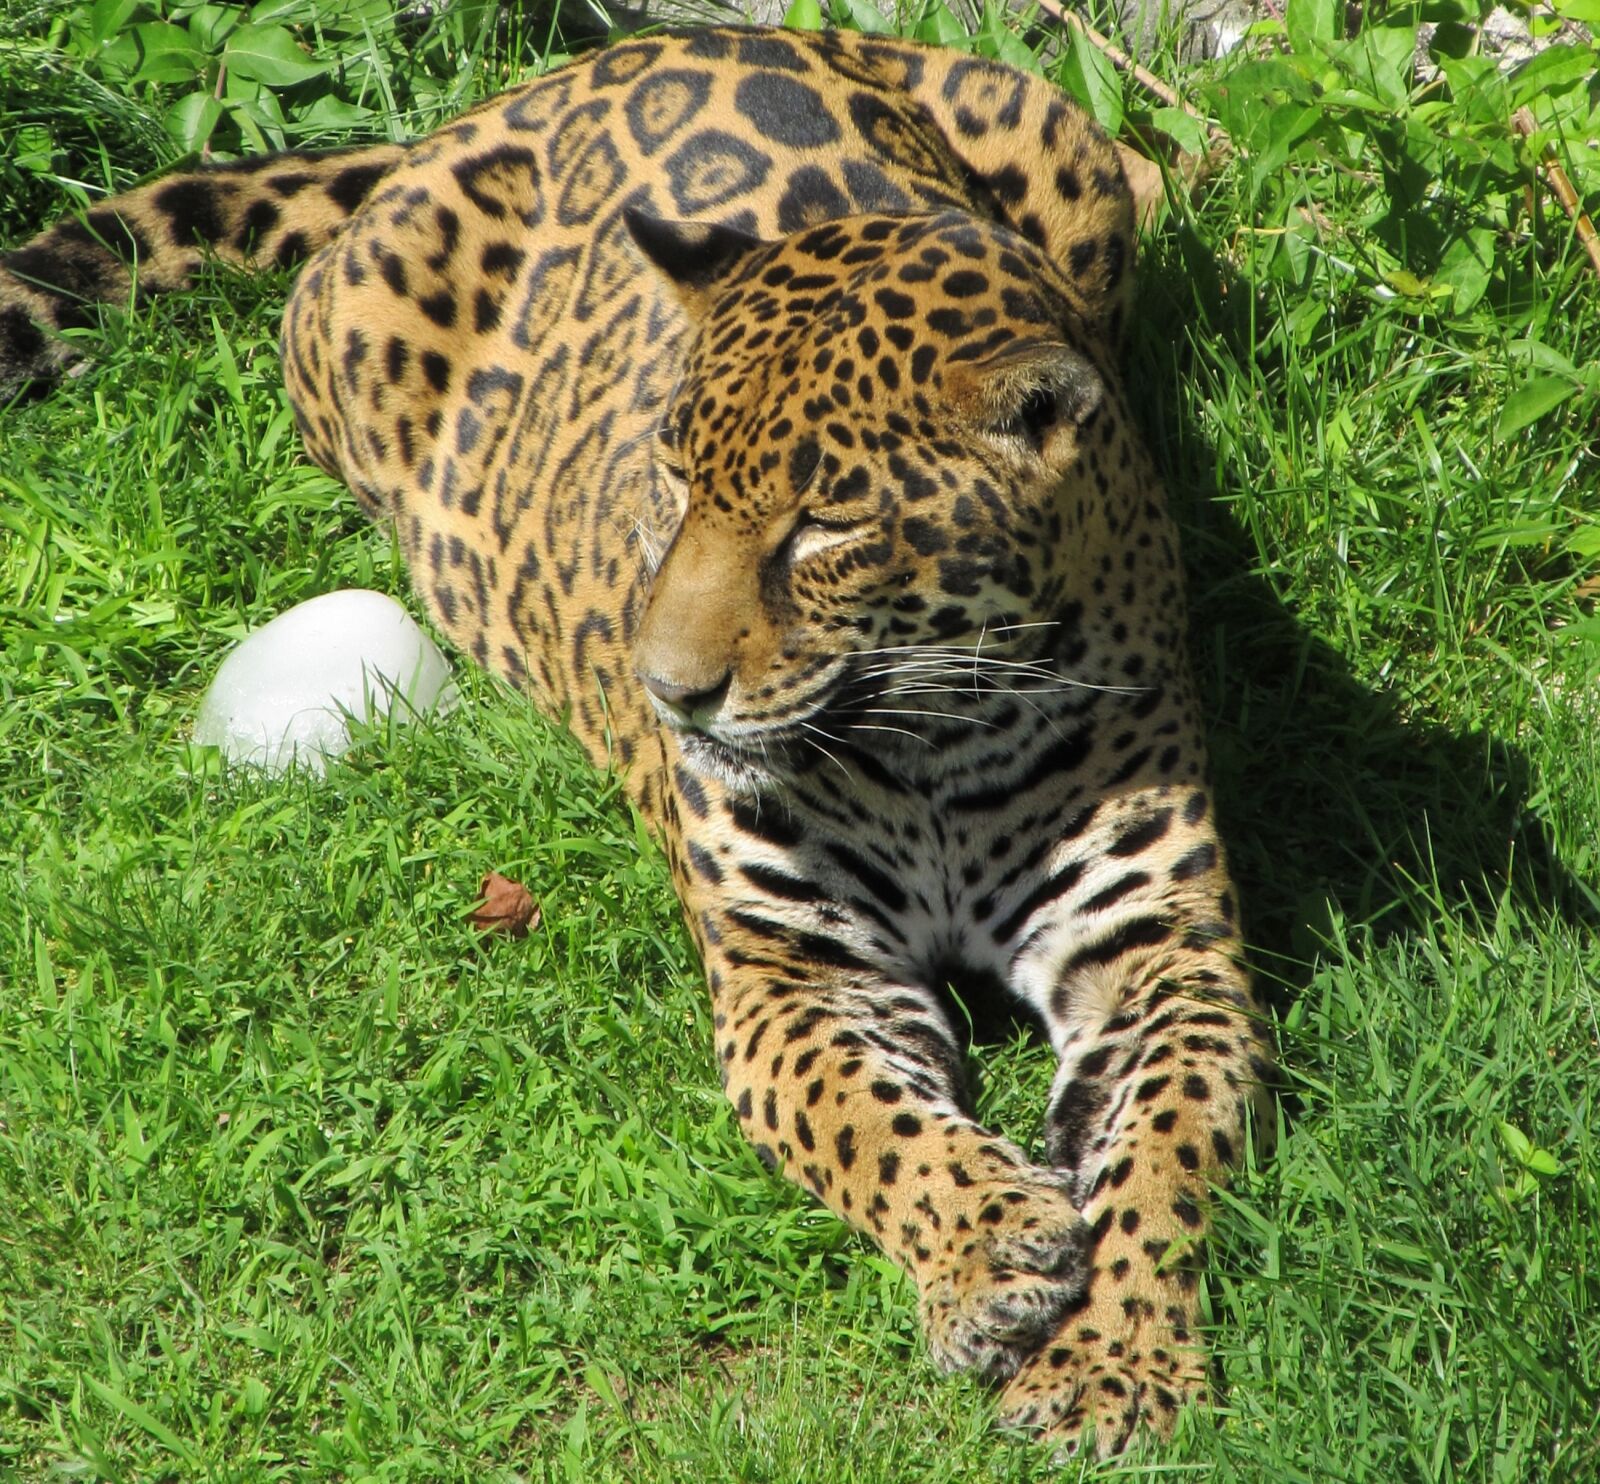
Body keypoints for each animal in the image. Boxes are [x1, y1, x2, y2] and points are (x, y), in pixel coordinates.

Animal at [0, 23, 1275, 1456]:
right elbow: (874, 1122)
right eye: (673, 477)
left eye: (824, 527)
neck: (942, 736)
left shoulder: (1157, 945)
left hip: (1071, 146)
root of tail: (578, 66)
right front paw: (993, 1240)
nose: (666, 690)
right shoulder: (793, 968)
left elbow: (1161, 1152)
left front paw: (1116, 1358)